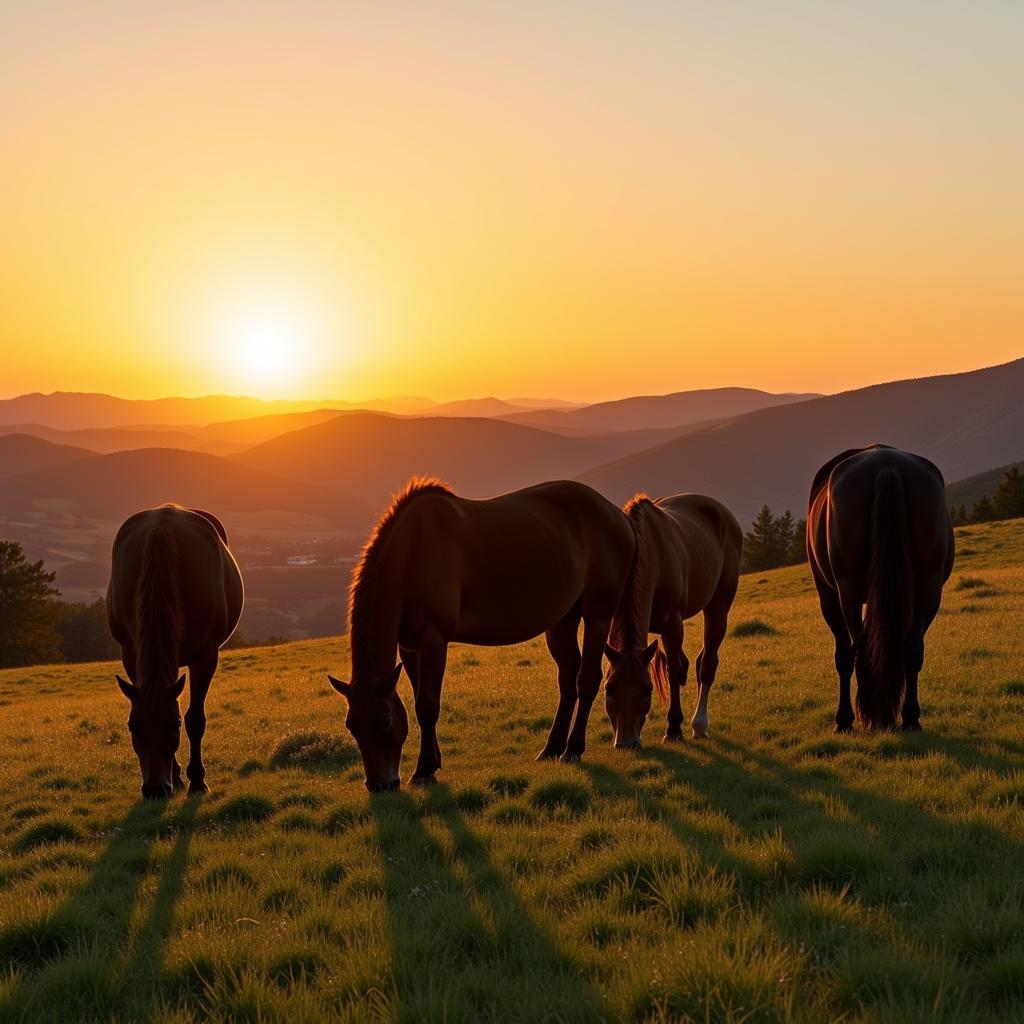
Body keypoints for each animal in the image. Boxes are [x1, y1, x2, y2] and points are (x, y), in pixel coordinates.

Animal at [106, 503, 243, 798]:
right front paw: (178, 776)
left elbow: (195, 718)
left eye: (173, 725)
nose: (155, 789)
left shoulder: (206, 655)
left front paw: (198, 780)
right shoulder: (131, 653)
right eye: (132, 726)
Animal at [327, 475, 630, 786]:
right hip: (562, 620)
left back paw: (572, 749)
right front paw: (433, 760)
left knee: (587, 680)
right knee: (568, 677)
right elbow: (419, 697)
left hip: (597, 616)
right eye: (351, 725)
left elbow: (427, 705)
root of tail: (617, 514)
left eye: (385, 720)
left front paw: (423, 769)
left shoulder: (433, 639)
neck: (414, 550)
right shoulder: (409, 645)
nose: (379, 784)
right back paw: (552, 748)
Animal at [602, 491, 741, 749]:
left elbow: (672, 669)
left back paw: (699, 724)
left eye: (647, 691)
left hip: (718, 604)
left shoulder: (673, 624)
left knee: (708, 663)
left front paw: (674, 727)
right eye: (609, 690)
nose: (627, 742)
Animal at [806, 444, 958, 733]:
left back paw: (871, 717)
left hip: (847, 592)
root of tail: (886, 465)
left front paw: (844, 719)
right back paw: (909, 717)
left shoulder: (828, 597)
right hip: (928, 588)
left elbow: (843, 656)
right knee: (912, 648)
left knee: (860, 649)